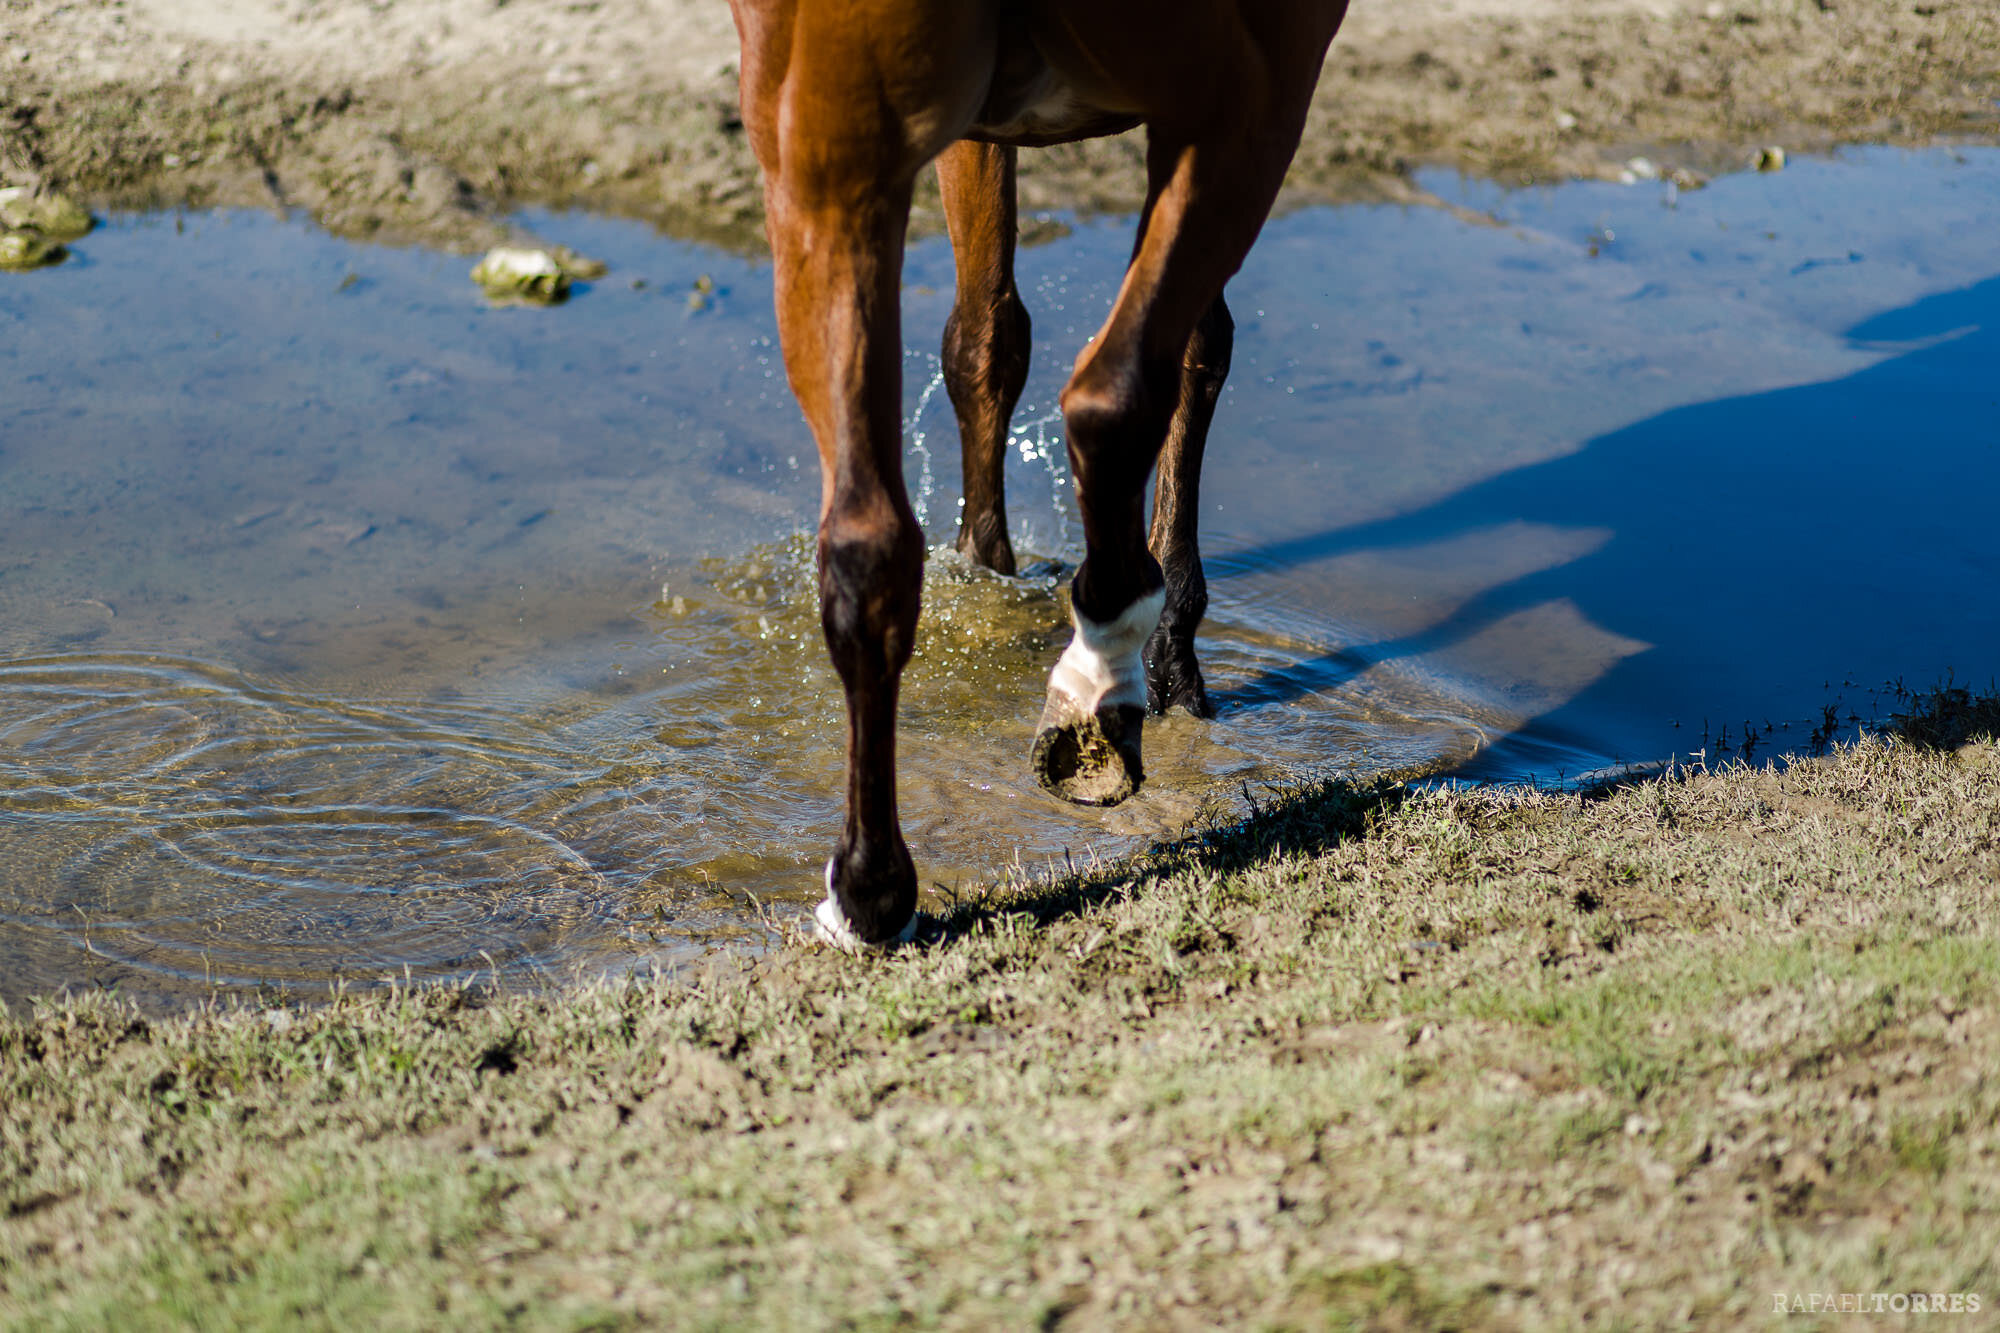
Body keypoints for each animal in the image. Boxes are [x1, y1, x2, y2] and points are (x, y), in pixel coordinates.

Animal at [728, 0, 1352, 944]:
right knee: (1114, 392)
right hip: (1247, 106)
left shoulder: (971, 130)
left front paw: (986, 571)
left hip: (825, 155)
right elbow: (1186, 350)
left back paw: (871, 888)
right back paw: (1101, 691)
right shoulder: (1237, 105)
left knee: (868, 538)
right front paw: (1169, 653)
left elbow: (984, 340)